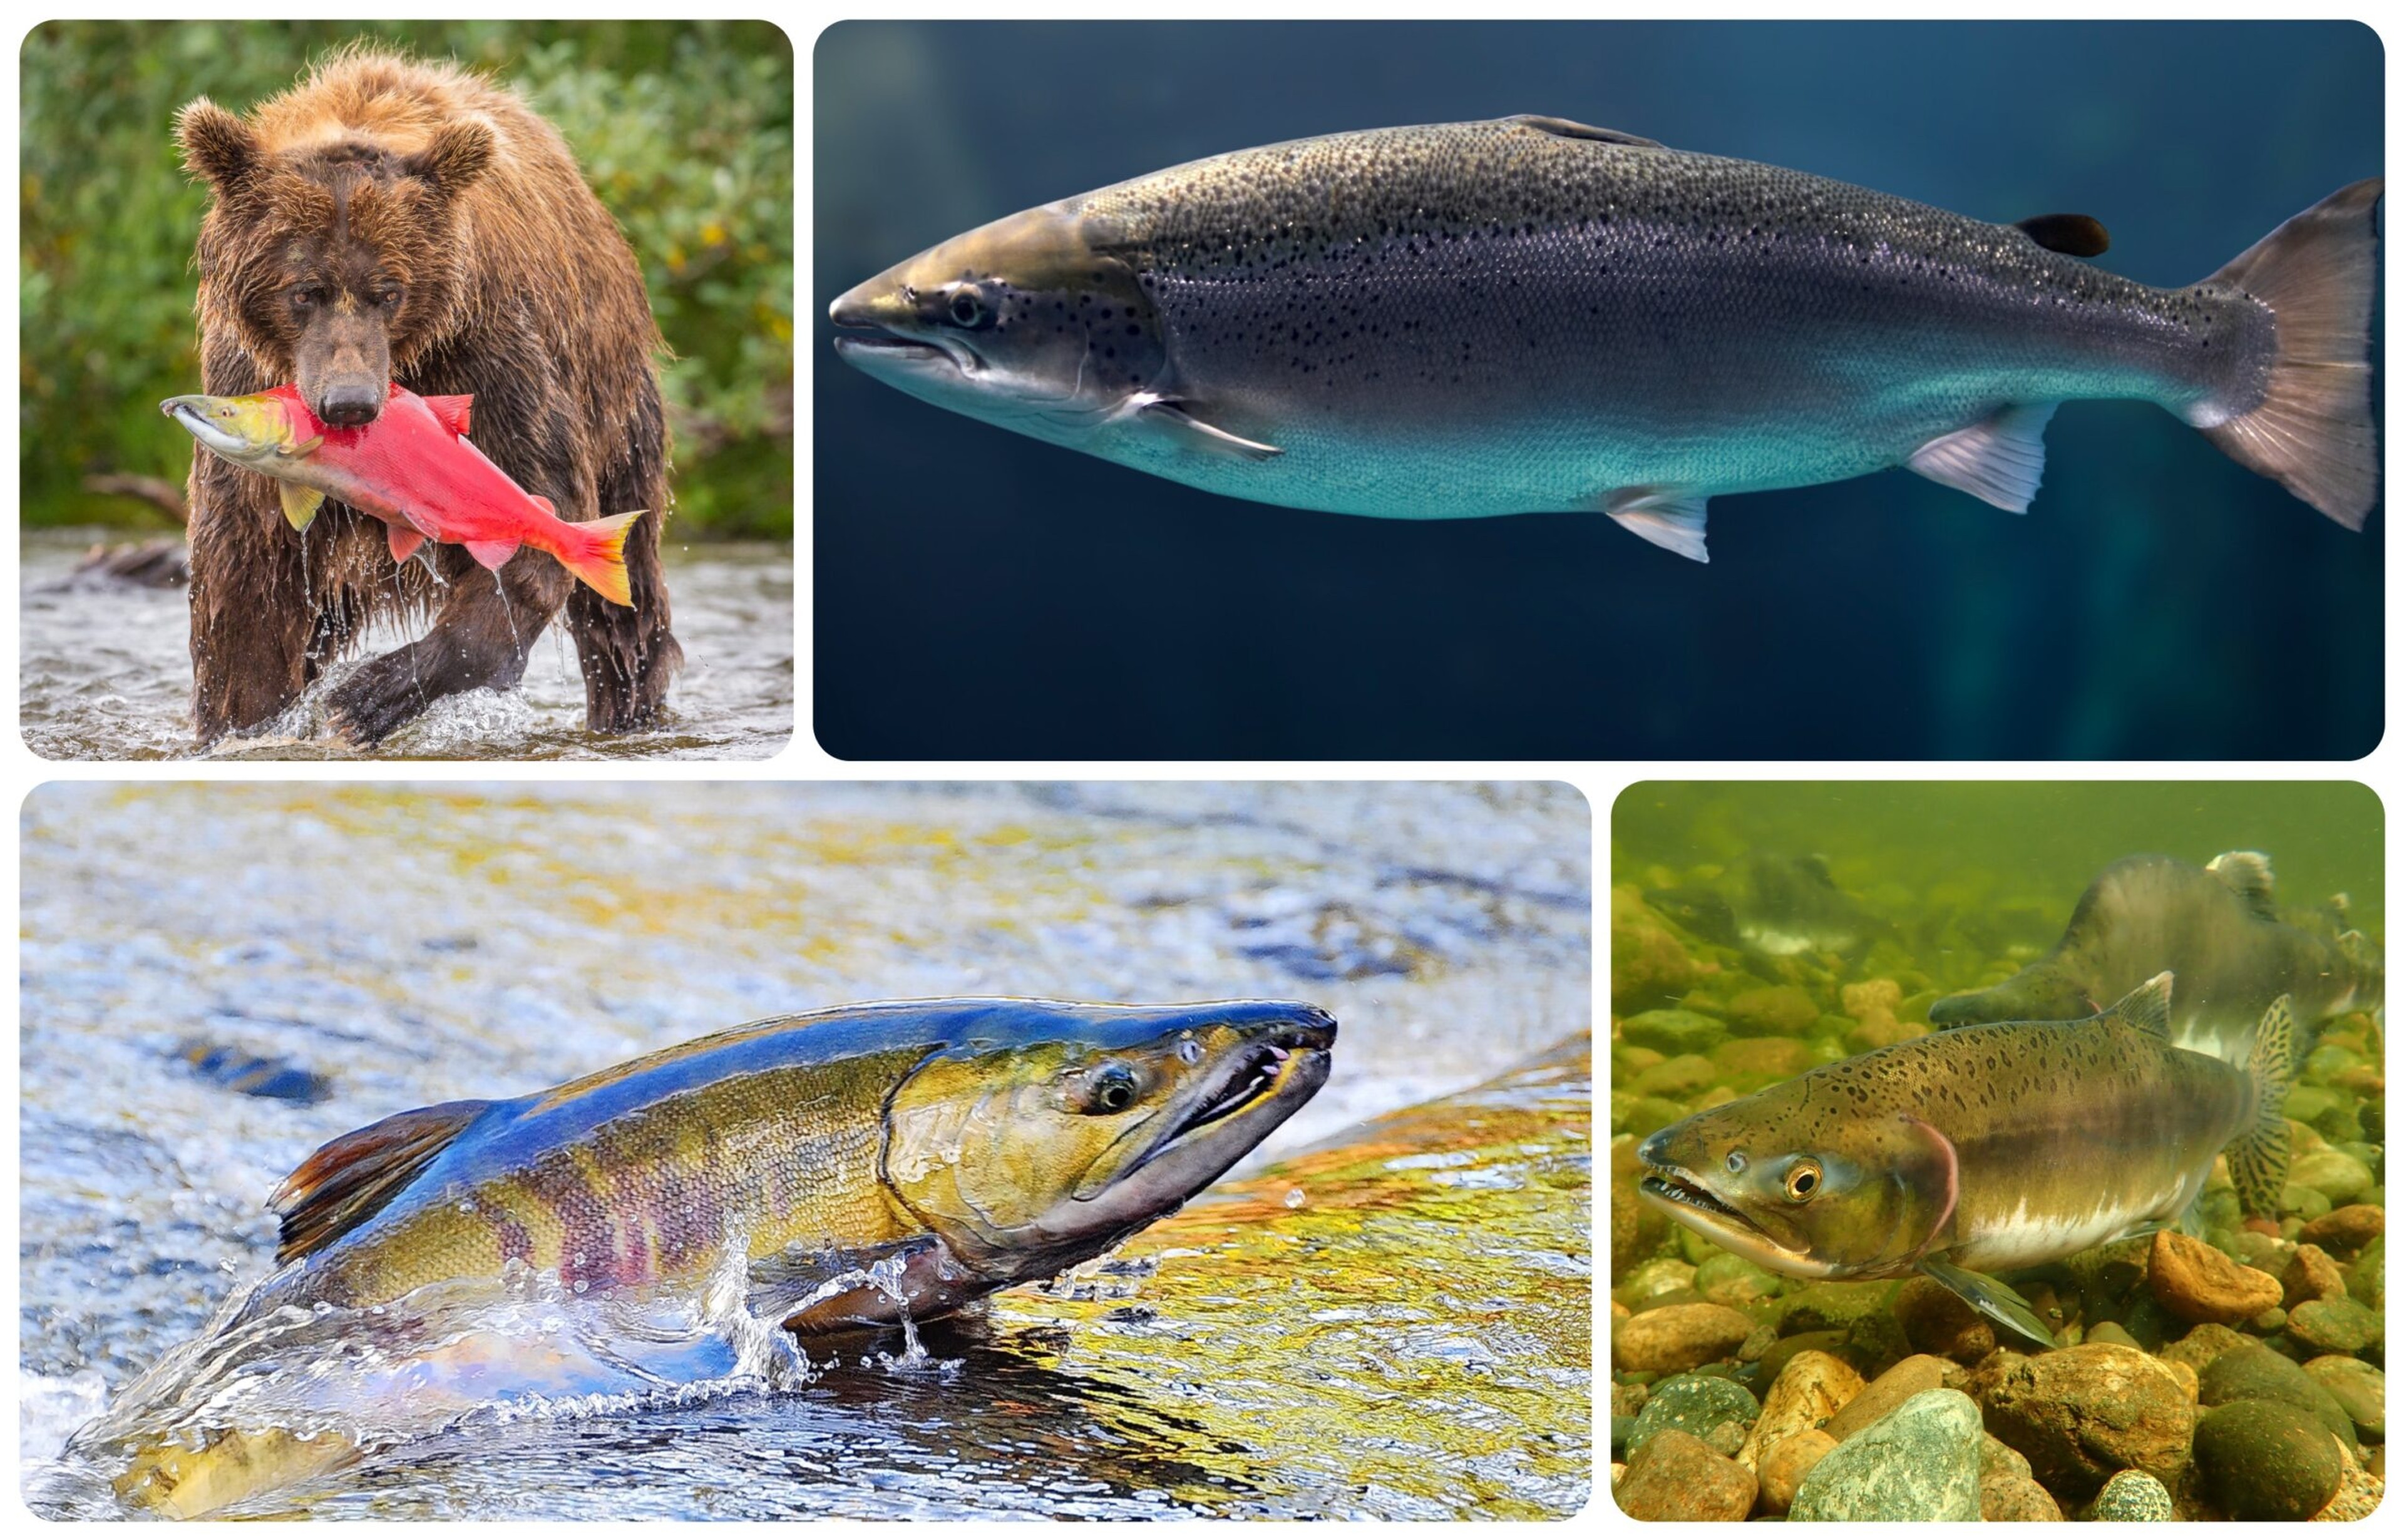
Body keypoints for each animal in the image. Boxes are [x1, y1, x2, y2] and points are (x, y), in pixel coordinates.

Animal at [174, 47, 680, 745]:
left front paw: (367, 697)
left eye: (390, 290)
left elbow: (535, 522)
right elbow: (245, 578)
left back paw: (627, 707)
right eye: (303, 290)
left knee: (624, 603)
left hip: (618, 409)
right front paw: (243, 720)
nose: (350, 404)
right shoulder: (243, 376)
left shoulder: (489, 352)